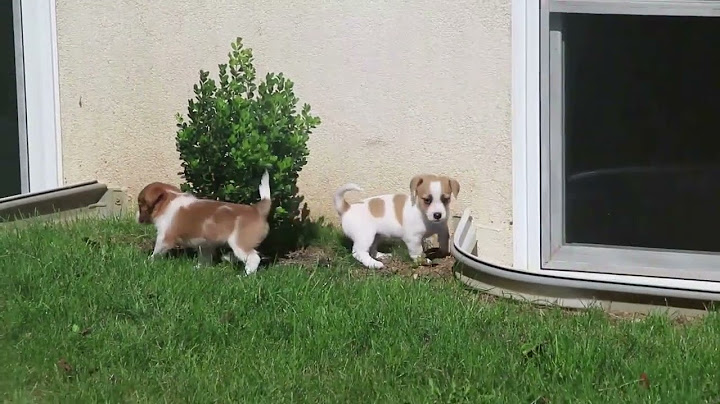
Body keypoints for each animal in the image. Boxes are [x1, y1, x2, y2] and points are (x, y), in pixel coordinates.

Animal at [136, 170, 272, 274]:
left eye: (140, 204)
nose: (136, 216)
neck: (168, 200)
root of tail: (257, 210)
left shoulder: (164, 237)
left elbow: (156, 252)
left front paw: (148, 262)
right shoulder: (206, 244)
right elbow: (205, 258)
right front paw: (199, 268)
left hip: (239, 242)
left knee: (253, 257)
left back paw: (245, 275)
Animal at [334, 174, 462, 268]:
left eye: (446, 199)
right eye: (427, 200)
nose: (437, 215)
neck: (423, 215)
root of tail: (347, 208)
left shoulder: (441, 227)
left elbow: (444, 238)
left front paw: (443, 251)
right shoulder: (413, 238)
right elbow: (417, 251)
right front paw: (422, 260)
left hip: (377, 236)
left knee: (372, 249)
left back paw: (381, 256)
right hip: (365, 236)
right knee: (358, 252)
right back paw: (373, 264)